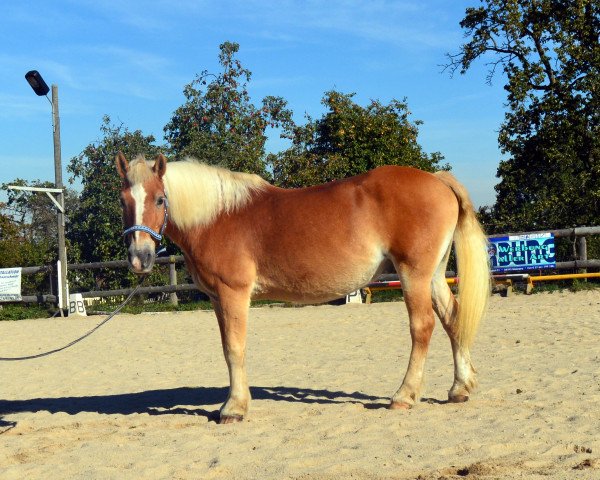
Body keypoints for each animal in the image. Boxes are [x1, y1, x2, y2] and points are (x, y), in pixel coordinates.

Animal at [115, 153, 490, 424]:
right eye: (123, 201)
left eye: (160, 200)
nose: (139, 258)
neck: (218, 216)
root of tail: (438, 179)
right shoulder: (217, 300)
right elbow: (227, 349)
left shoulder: (232, 293)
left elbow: (234, 348)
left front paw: (234, 408)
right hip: (434, 276)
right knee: (453, 319)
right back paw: (459, 388)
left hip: (414, 275)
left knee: (422, 327)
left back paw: (404, 396)